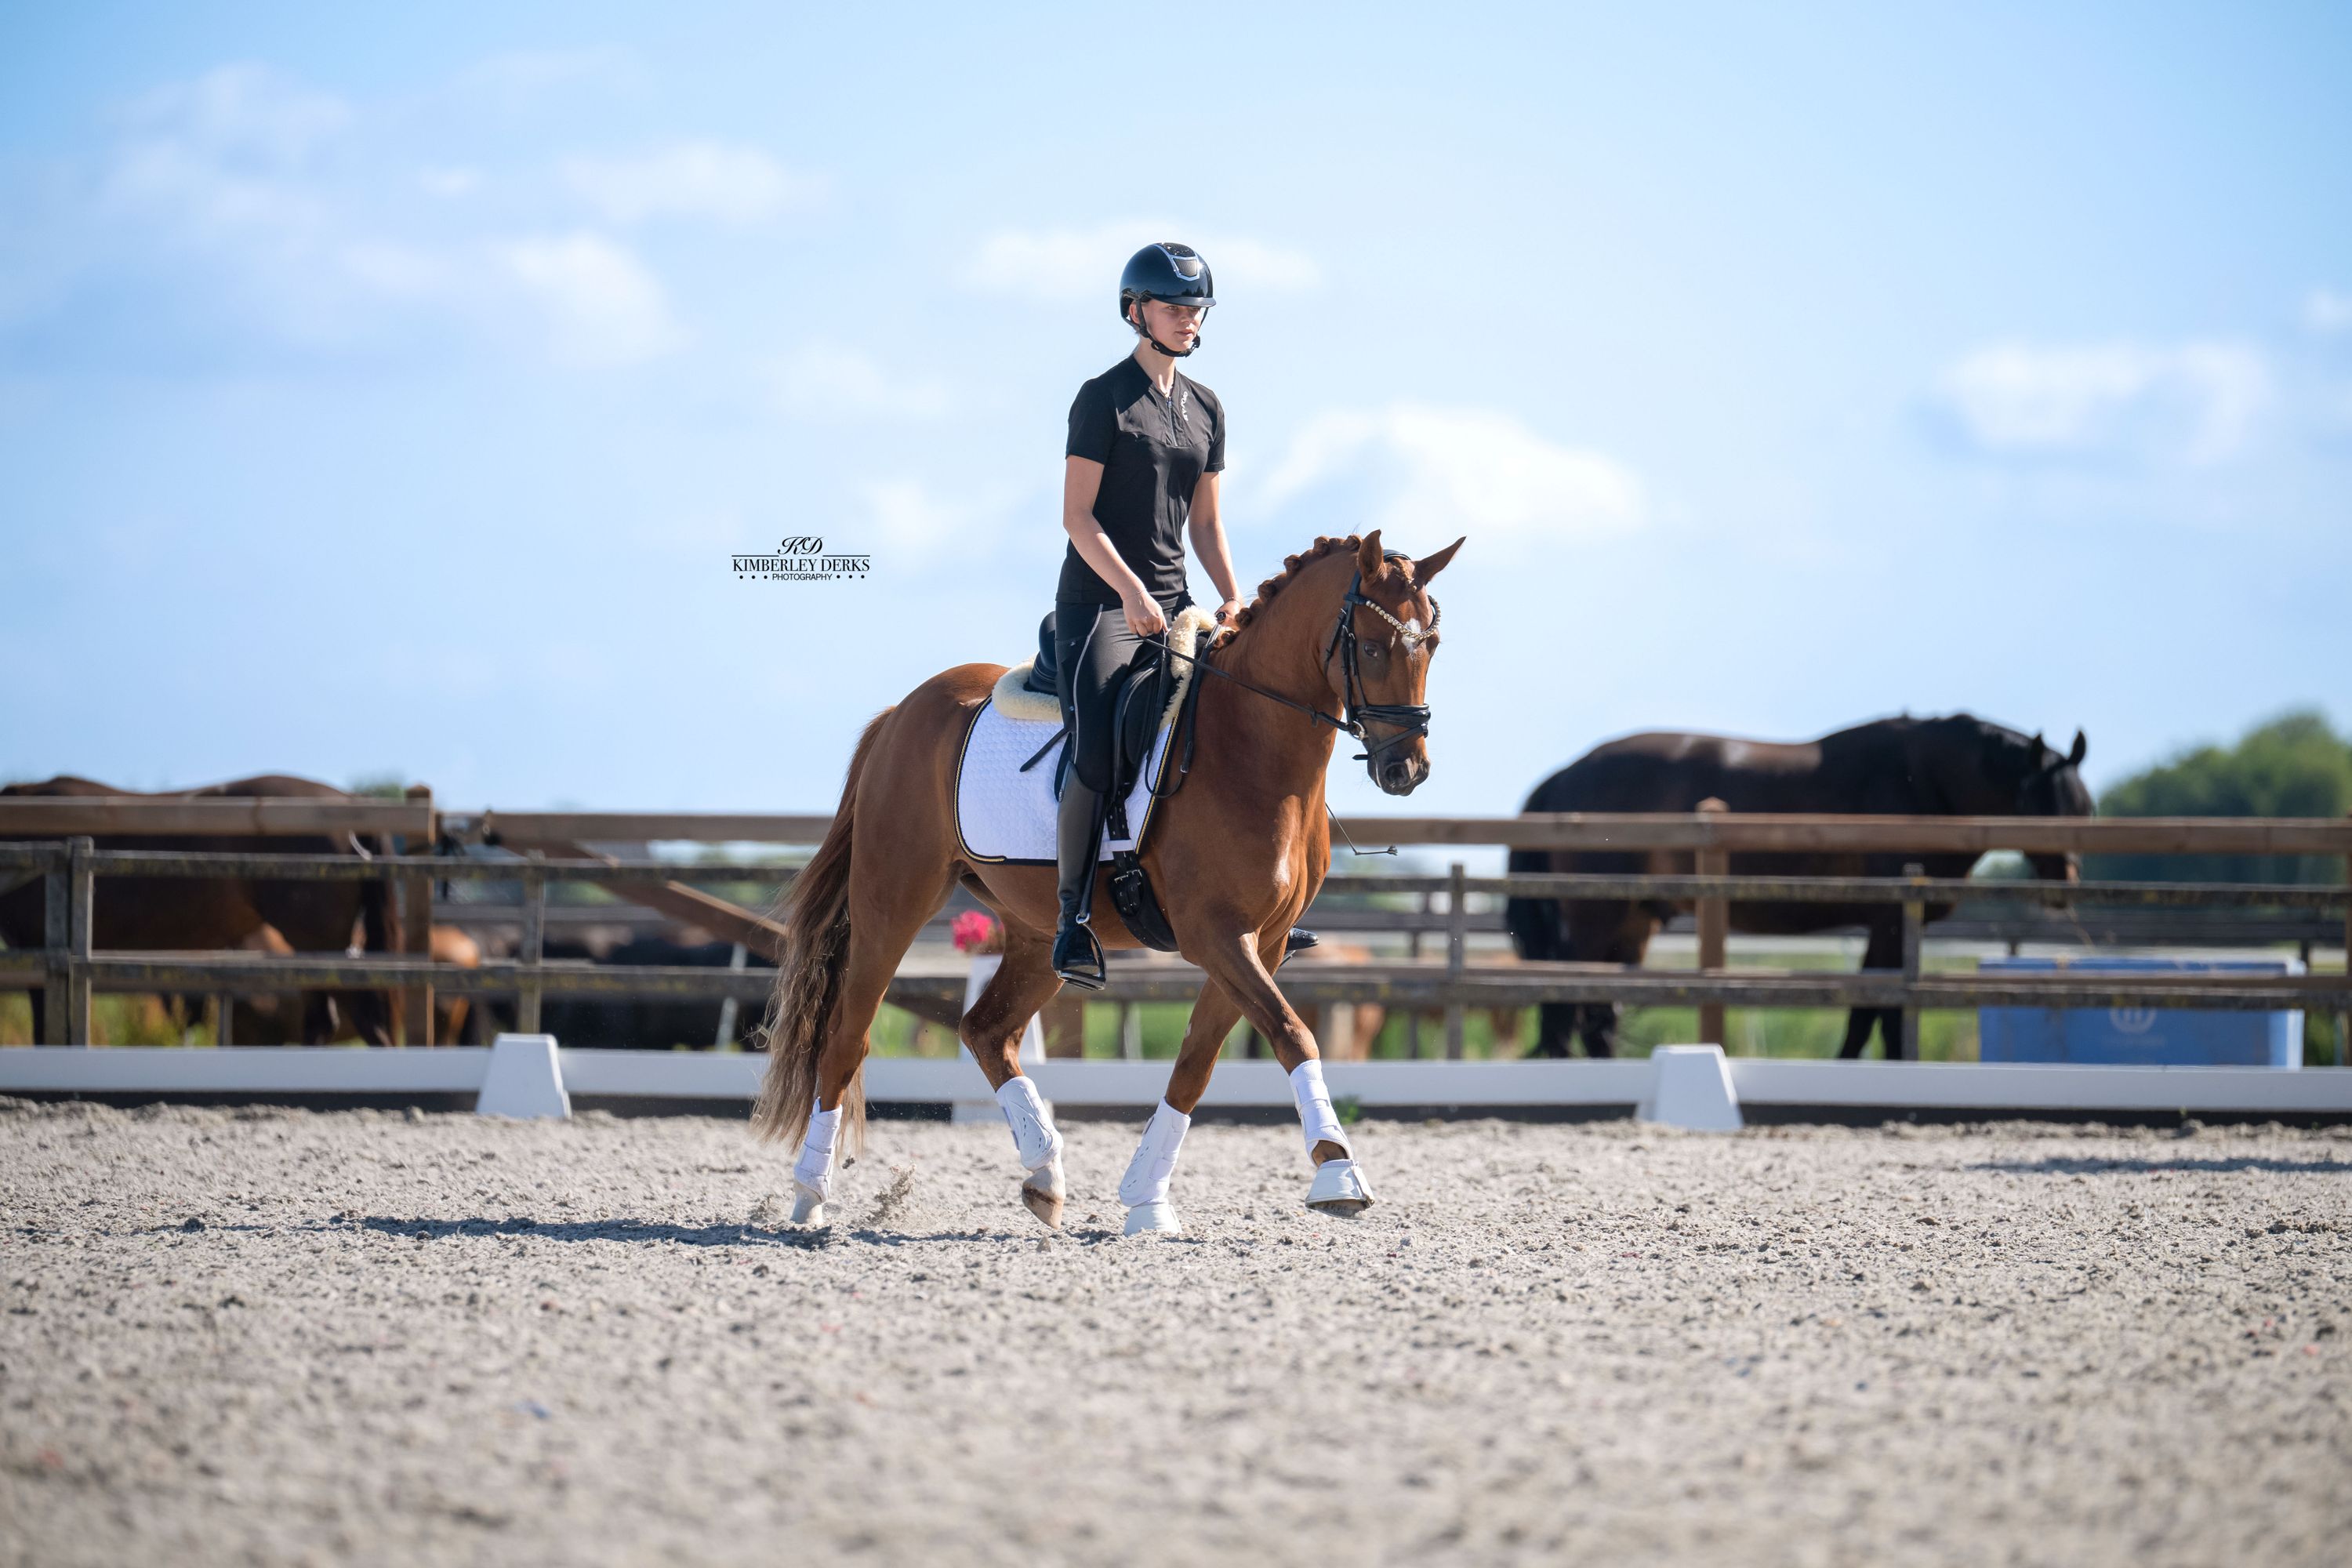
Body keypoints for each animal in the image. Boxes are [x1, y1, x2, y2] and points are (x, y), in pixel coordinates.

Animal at [751, 531, 1462, 1235]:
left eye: (1430, 644)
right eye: (1370, 647)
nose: (1406, 770)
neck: (1251, 746)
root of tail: (901, 713)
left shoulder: (1264, 941)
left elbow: (1196, 1065)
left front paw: (1148, 1199)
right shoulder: (1217, 935)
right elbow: (1292, 1033)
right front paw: (1338, 1172)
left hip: (1038, 932)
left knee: (985, 1030)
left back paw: (1044, 1175)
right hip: (892, 903)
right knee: (848, 1037)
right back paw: (810, 1195)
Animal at [1502, 716, 2092, 1059]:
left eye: (2083, 808)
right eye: (2041, 805)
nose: (2064, 887)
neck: (1924, 785)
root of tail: (1567, 775)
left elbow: (1875, 1013)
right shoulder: (1890, 920)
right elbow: (1877, 1016)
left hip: (1633, 923)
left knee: (1599, 1015)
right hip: (1595, 918)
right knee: (1567, 1007)